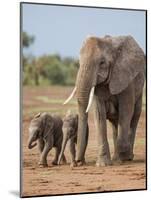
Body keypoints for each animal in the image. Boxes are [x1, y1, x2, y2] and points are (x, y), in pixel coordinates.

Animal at [64, 35, 145, 166]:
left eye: (102, 63)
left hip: (140, 90)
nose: (78, 162)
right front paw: (103, 164)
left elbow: (126, 111)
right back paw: (117, 158)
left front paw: (123, 158)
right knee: (115, 123)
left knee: (133, 118)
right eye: (79, 62)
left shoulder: (126, 79)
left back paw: (126, 157)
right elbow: (99, 115)